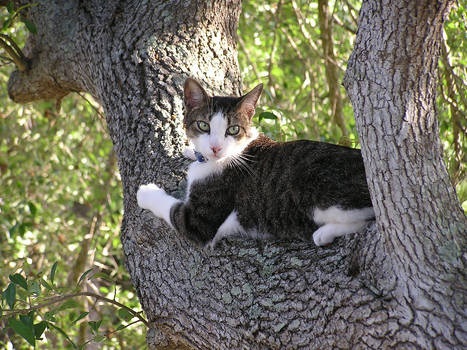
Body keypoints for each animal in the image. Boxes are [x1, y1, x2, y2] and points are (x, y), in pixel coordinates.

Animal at [137, 78, 374, 249]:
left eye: (233, 129)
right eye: (203, 125)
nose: (215, 148)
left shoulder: (201, 221)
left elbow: (173, 209)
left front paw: (147, 192)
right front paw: (189, 150)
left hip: (317, 189)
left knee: (368, 218)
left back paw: (323, 233)